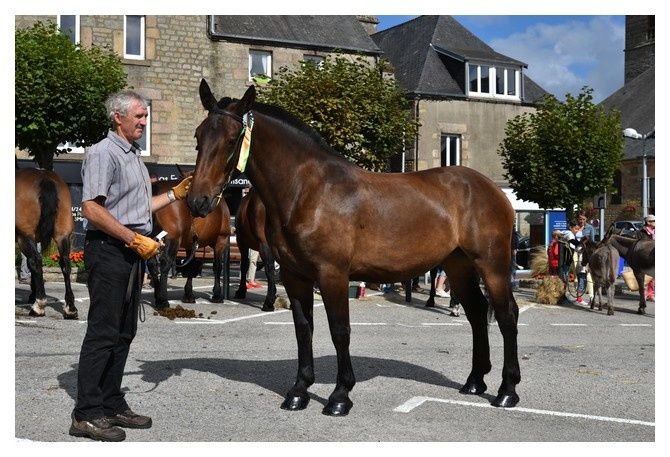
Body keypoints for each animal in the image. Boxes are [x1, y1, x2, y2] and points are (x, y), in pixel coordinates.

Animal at [14, 166, 79, 318]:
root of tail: (44, 177)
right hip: (62, 234)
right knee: (65, 263)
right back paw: (70, 308)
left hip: (24, 236)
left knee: (35, 260)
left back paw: (38, 305)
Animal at [148, 173, 232, 308]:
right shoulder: (221, 240)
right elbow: (217, 266)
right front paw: (217, 295)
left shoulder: (190, 244)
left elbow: (190, 267)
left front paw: (188, 295)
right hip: (173, 238)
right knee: (165, 263)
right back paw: (163, 300)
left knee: (152, 264)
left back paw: (157, 296)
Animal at [186, 80, 524, 416]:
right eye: (198, 136)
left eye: (232, 140)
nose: (197, 201)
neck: (307, 191)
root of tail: (493, 191)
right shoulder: (295, 276)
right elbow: (303, 329)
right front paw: (298, 392)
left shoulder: (332, 274)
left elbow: (340, 331)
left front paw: (340, 396)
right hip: (458, 266)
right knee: (477, 313)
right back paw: (474, 381)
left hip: (491, 264)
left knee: (506, 315)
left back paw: (507, 391)